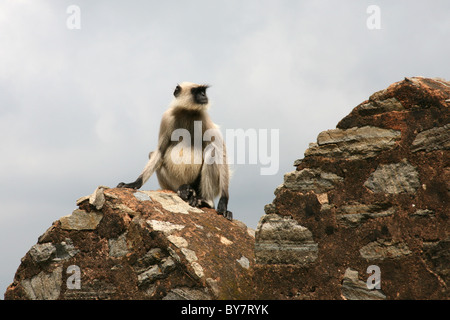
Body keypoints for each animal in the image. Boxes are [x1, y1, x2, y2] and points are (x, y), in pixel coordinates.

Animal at [116, 82, 232, 220]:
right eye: (197, 91)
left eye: (203, 91)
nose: (204, 96)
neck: (188, 112)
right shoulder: (167, 117)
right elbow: (160, 151)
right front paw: (134, 183)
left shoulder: (204, 118)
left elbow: (221, 153)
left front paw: (223, 203)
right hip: (173, 183)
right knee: (153, 155)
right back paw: (185, 189)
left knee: (212, 152)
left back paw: (205, 201)